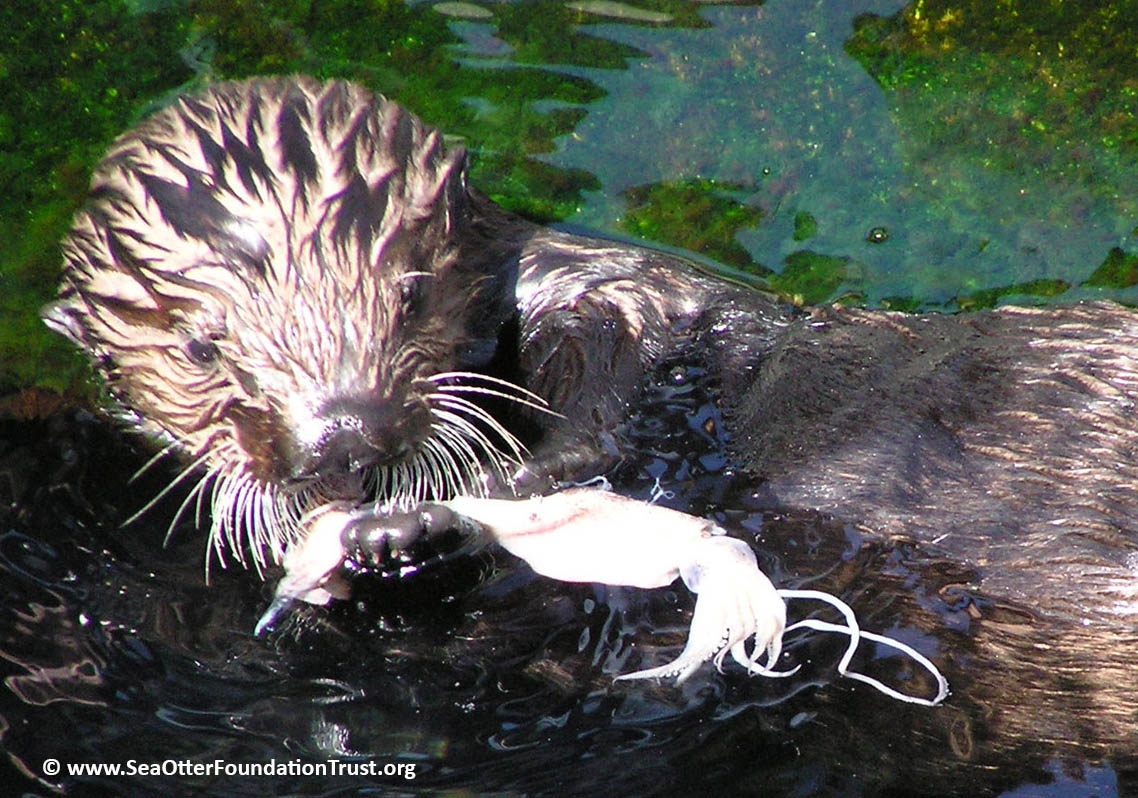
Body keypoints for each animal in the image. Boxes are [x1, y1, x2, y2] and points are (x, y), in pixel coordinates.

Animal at [43, 75, 1138, 641]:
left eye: (410, 293)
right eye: (201, 347)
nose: (345, 438)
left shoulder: (617, 303)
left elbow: (597, 422)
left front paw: (421, 523)